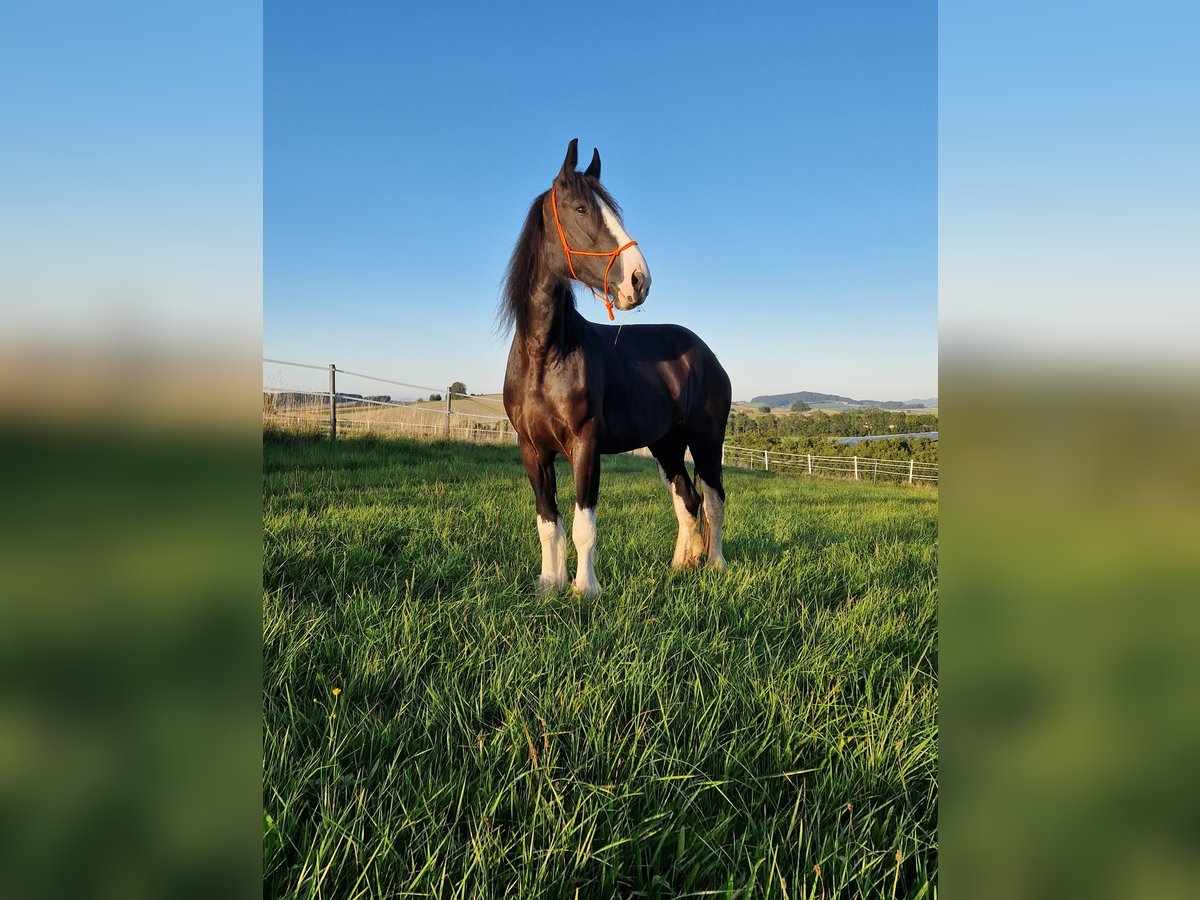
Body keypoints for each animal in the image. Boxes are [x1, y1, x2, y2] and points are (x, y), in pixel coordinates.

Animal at [499, 141, 729, 600]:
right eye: (580, 208)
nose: (639, 280)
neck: (545, 355)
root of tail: (707, 355)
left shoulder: (586, 445)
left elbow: (583, 525)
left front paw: (585, 590)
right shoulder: (532, 450)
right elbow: (548, 523)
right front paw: (550, 585)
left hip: (706, 440)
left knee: (713, 500)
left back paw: (714, 564)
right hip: (666, 445)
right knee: (687, 498)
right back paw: (682, 564)